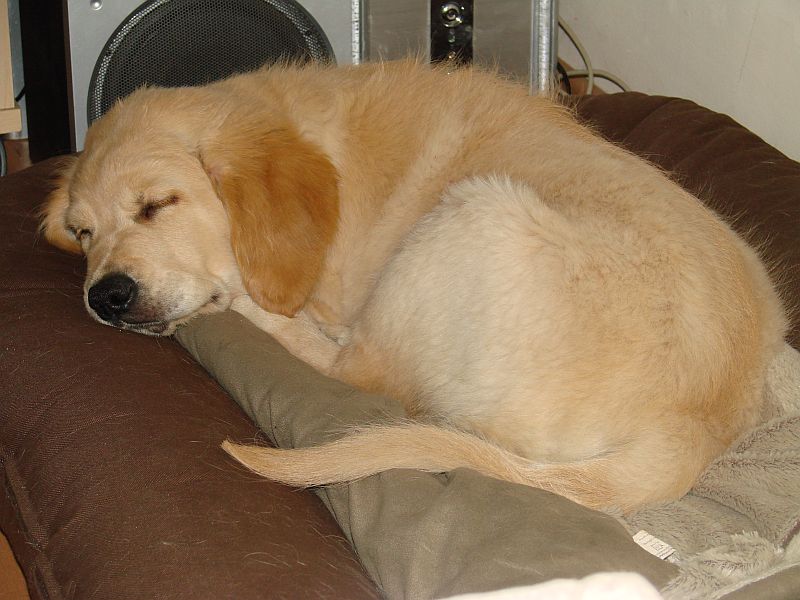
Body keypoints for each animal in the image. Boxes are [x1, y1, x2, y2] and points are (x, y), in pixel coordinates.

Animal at [41, 60, 786, 512]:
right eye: (82, 232)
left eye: (156, 205)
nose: (104, 296)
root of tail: (699, 426)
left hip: (472, 213)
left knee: (354, 367)